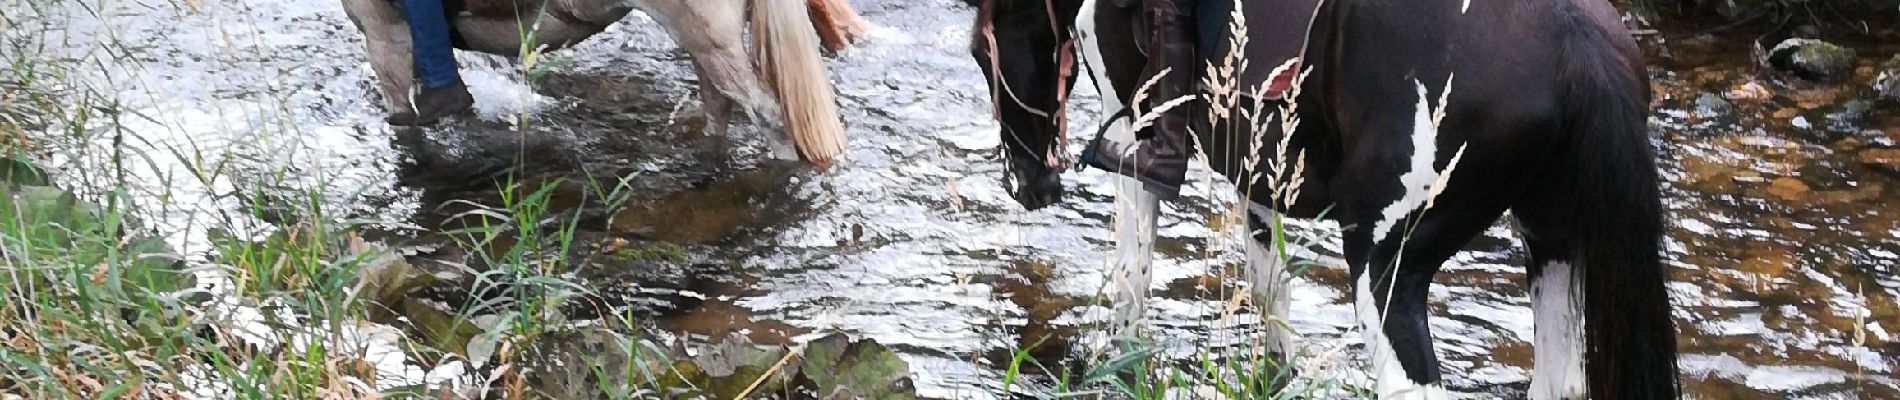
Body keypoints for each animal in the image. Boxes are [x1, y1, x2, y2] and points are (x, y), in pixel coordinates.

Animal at [980, 0, 1679, 396]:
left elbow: (1132, 278)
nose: (1029, 185)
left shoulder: (1131, 135)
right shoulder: (1260, 169)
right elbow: (1272, 291)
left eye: (982, 53)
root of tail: (1576, 41)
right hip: (1552, 248)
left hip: (1386, 271)